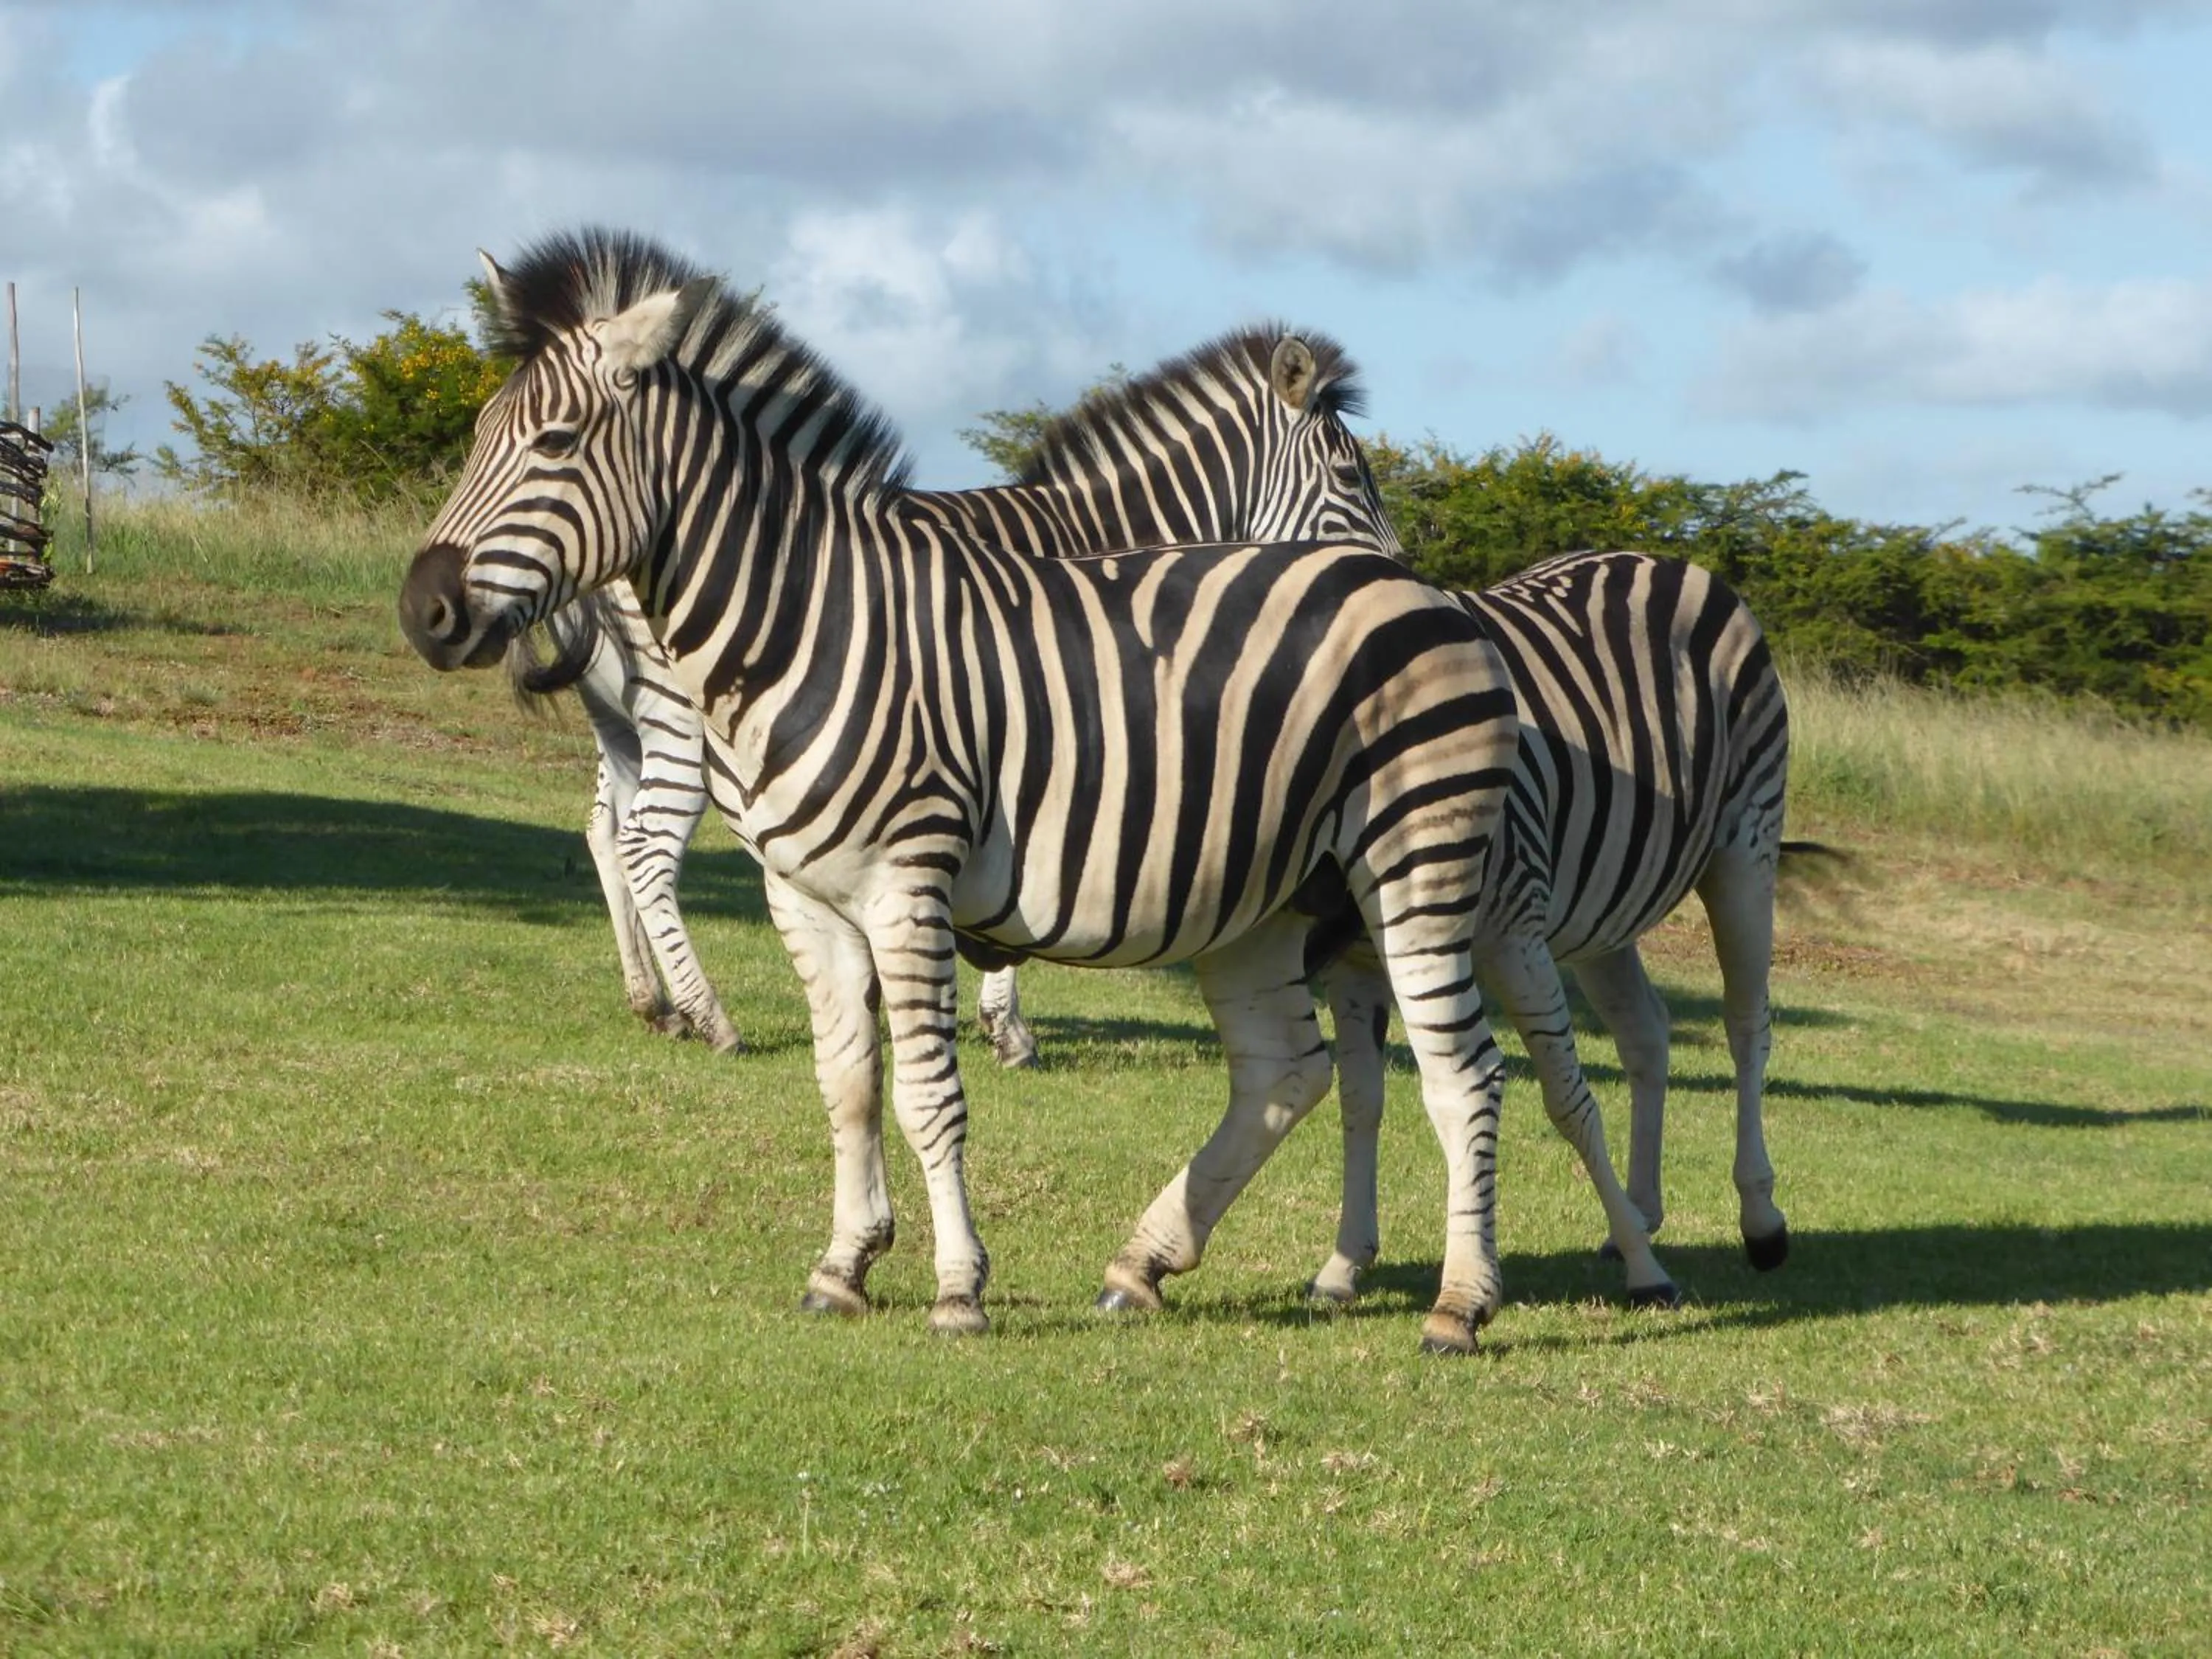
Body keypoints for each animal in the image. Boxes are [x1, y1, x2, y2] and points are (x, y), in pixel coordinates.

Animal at [507, 325, 1405, 1065]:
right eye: (1349, 474)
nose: (1400, 579)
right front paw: (1007, 1029)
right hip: (690, 726)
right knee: (645, 845)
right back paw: (710, 1016)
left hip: (620, 723)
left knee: (603, 832)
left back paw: (652, 1003)